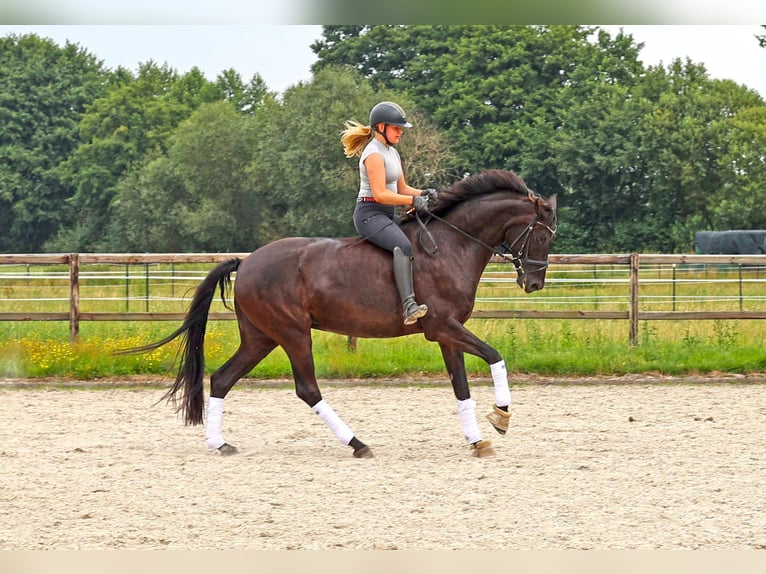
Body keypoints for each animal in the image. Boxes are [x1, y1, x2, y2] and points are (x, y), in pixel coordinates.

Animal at [124, 169, 560, 462]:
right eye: (541, 234)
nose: (534, 283)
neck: (453, 245)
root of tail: (246, 263)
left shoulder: (445, 333)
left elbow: (461, 386)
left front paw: (477, 439)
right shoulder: (443, 326)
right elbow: (495, 356)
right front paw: (501, 416)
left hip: (261, 337)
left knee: (223, 378)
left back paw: (220, 443)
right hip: (292, 333)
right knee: (307, 389)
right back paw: (357, 443)